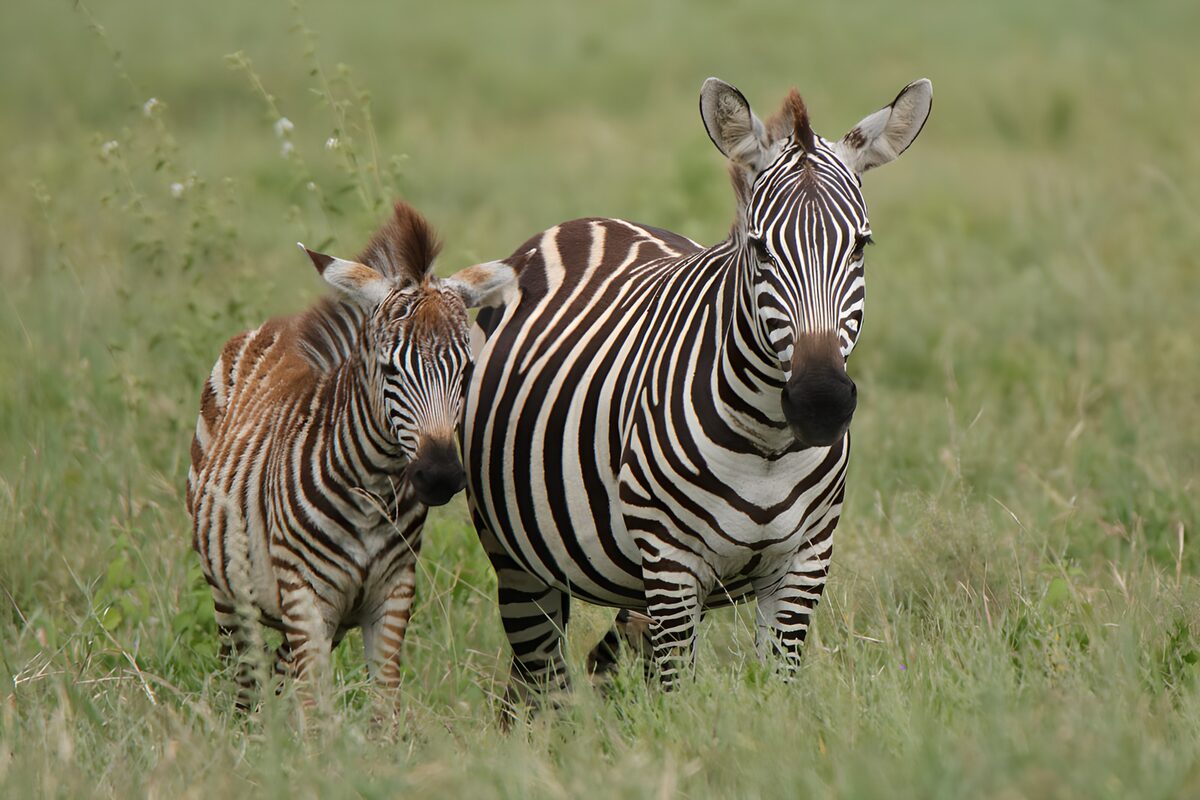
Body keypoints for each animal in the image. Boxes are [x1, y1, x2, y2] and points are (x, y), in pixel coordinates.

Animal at [186, 201, 515, 709]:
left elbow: (383, 702)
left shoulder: (392, 594)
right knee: (244, 681)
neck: (373, 489)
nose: (440, 475)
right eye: (389, 369)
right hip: (230, 593)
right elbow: (315, 705)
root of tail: (275, 325)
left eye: (467, 370)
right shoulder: (306, 596)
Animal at [463, 77, 932, 709]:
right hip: (515, 555)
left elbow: (777, 691)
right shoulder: (671, 563)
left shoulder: (805, 563)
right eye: (760, 248)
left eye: (861, 246)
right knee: (544, 680)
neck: (769, 443)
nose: (821, 403)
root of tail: (588, 223)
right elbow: (677, 698)